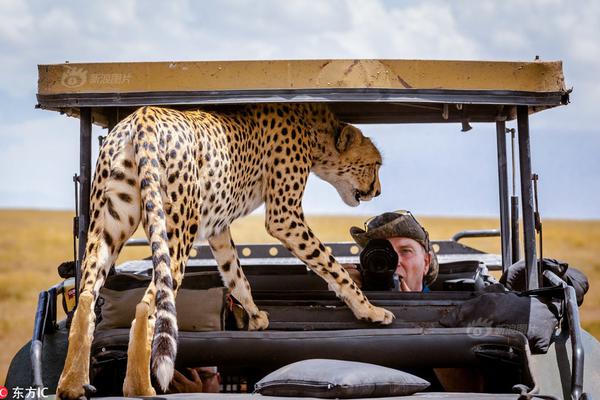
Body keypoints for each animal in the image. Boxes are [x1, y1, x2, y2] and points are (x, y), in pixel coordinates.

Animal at [55, 104, 394, 400]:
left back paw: (71, 385)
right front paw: (370, 310)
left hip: (110, 224)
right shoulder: (284, 217)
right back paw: (139, 388)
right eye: (373, 165)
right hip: (177, 231)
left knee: (86, 297)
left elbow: (236, 275)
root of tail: (143, 115)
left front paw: (255, 317)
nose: (378, 191)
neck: (316, 130)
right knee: (149, 302)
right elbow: (330, 264)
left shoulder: (217, 227)